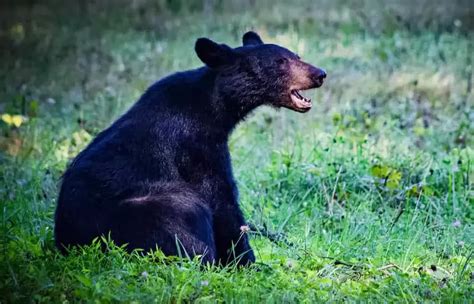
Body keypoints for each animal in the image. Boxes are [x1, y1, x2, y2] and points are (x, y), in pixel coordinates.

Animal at [54, 31, 326, 266]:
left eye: (297, 56)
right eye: (280, 61)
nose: (320, 73)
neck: (215, 107)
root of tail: (66, 244)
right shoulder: (196, 147)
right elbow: (221, 201)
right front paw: (246, 262)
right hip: (144, 212)